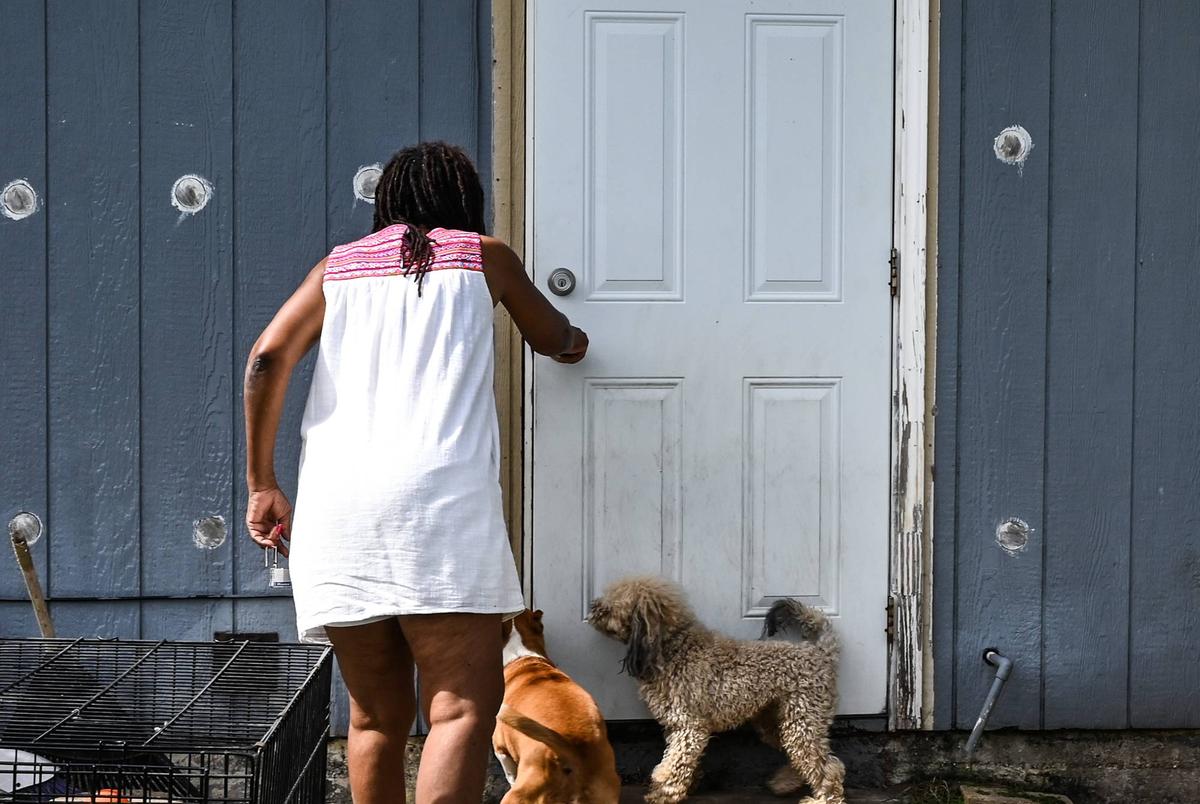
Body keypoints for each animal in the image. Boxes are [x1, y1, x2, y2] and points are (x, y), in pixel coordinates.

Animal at [585, 576, 840, 801]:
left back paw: (822, 798)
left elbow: (672, 764)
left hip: (803, 721)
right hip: (776, 722)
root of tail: (820, 652)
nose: (592, 606)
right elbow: (682, 760)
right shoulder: (679, 728)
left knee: (829, 767)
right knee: (803, 758)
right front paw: (688, 785)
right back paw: (784, 783)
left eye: (613, 605)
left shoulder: (689, 726)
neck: (674, 649)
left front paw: (662, 793)